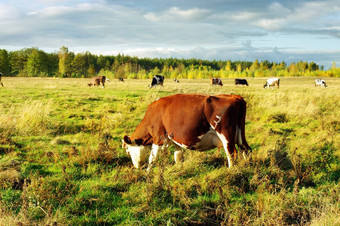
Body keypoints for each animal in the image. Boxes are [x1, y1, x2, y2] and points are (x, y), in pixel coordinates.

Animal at [122, 92, 252, 170]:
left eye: (128, 151)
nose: (136, 167)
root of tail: (234, 97)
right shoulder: (175, 140)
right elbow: (178, 157)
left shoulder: (158, 138)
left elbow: (152, 158)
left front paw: (148, 172)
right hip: (240, 135)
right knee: (246, 149)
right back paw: (248, 167)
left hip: (226, 135)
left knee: (231, 153)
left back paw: (231, 170)